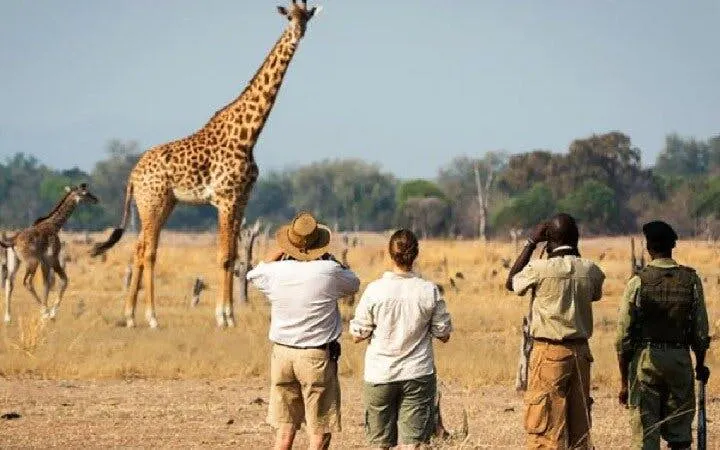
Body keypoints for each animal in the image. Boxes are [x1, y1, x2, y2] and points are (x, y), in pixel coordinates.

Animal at [1, 184, 99, 322]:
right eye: (85, 193)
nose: (96, 199)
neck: (54, 225)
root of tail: (12, 242)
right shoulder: (52, 258)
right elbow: (64, 280)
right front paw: (51, 313)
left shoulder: (44, 261)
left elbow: (46, 283)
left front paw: (48, 311)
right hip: (32, 261)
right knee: (27, 282)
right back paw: (44, 312)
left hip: (15, 262)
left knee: (10, 282)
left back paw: (8, 317)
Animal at [91, 1, 318, 328]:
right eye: (289, 17)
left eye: (306, 18)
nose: (298, 33)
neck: (248, 135)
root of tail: (132, 175)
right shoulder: (225, 198)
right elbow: (224, 256)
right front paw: (224, 317)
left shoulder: (242, 199)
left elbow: (234, 254)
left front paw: (230, 315)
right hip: (152, 202)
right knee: (149, 251)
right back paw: (151, 317)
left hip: (163, 204)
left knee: (138, 248)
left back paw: (131, 316)